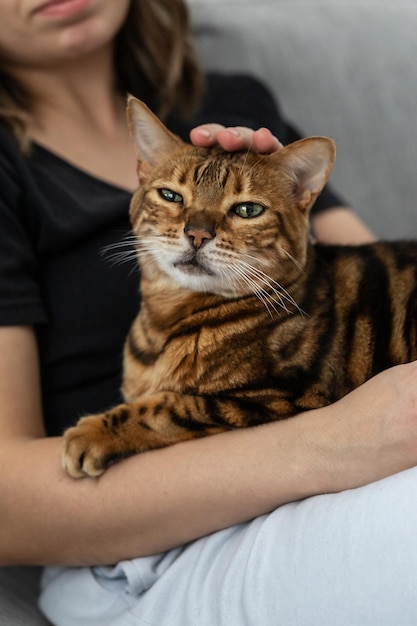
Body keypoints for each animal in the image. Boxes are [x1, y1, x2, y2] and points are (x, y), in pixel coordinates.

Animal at [61, 96, 416, 478]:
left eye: (248, 210)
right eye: (170, 195)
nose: (197, 233)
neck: (164, 321)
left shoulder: (285, 396)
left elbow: (169, 406)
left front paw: (93, 433)